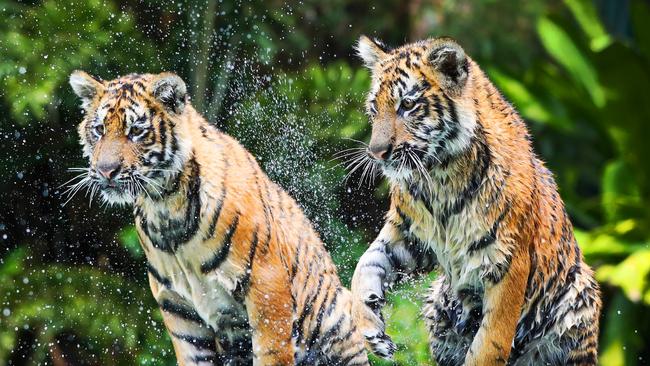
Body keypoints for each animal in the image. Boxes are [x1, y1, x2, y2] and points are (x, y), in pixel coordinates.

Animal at [69, 71, 370, 366]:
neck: (165, 205)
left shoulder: (267, 286)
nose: (106, 171)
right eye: (99, 130)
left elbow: (271, 353)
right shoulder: (177, 307)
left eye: (135, 131)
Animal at [346, 36, 600, 366]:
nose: (376, 152)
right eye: (375, 107)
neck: (439, 175)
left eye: (408, 105)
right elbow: (365, 266)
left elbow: (490, 343)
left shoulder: (507, 262)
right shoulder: (406, 236)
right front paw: (370, 325)